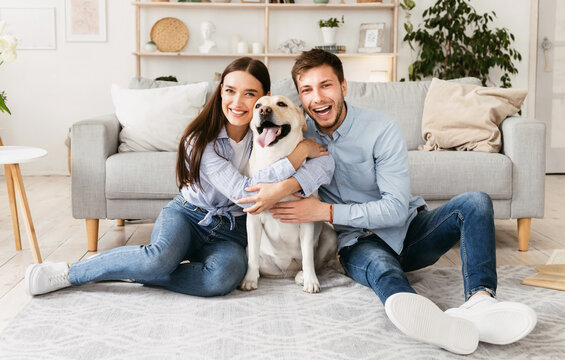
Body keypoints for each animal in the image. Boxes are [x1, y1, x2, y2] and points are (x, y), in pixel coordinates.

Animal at [237, 95, 338, 292]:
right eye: (258, 105)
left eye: (281, 104)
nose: (264, 111)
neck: (274, 159)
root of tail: (286, 273)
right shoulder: (253, 219)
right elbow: (253, 257)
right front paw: (249, 280)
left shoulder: (306, 219)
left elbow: (308, 256)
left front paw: (311, 281)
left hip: (330, 234)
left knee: (317, 263)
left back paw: (303, 276)